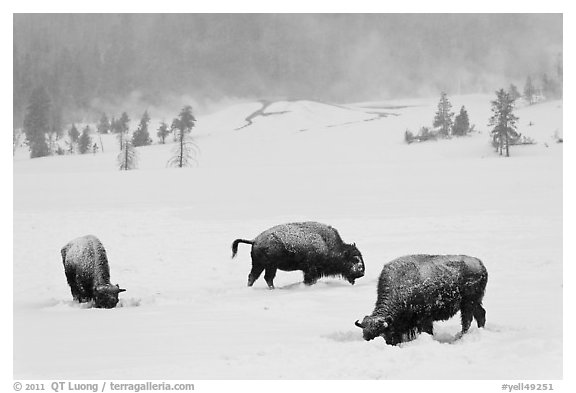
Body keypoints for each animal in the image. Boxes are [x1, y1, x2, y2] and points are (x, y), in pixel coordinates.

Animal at [231, 220, 362, 288]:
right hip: (268, 266)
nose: (361, 272)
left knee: (257, 276)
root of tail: (254, 240)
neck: (328, 245)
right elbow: (310, 279)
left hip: (263, 265)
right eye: (354, 259)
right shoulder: (310, 270)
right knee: (264, 277)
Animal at [356, 254, 486, 344]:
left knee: (467, 321)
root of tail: (480, 264)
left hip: (468, 304)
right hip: (475, 302)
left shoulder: (424, 318)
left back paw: (460, 337)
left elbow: (427, 330)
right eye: (365, 335)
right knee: (480, 314)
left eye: (381, 335)